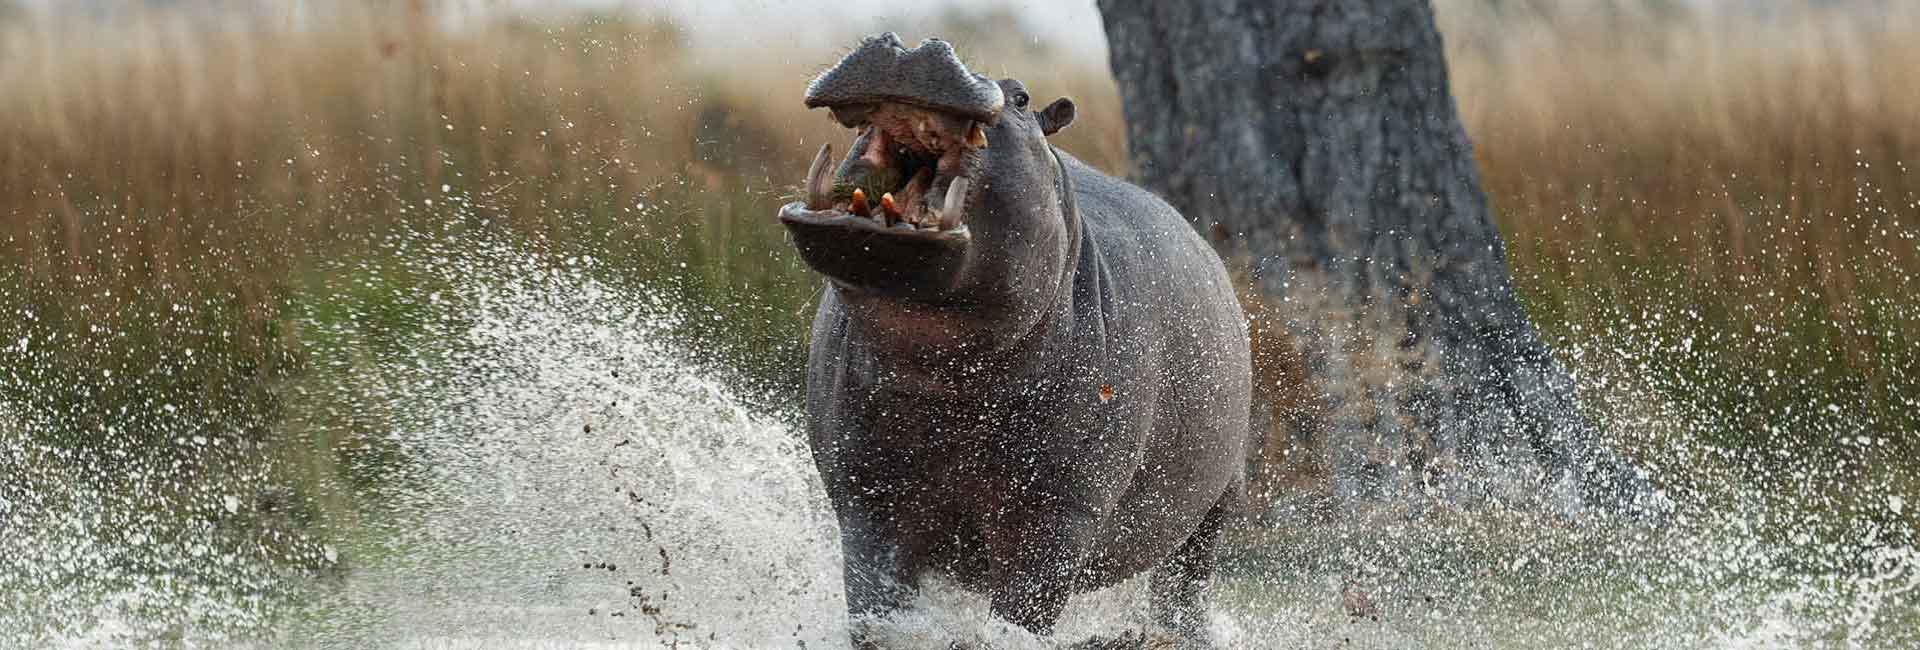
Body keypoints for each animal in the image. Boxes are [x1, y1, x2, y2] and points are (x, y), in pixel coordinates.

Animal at [779, 31, 1259, 648]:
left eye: (1023, 97)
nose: (909, 50)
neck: (943, 366)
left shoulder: (1056, 516)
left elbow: (1024, 613)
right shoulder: (867, 495)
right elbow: (874, 603)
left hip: (1216, 505)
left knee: (1186, 584)